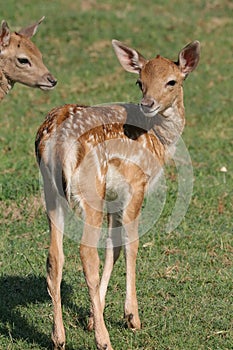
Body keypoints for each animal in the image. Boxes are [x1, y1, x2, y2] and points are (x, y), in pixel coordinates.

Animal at [35, 39, 199, 348]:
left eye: (171, 81)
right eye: (140, 81)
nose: (148, 104)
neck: (160, 140)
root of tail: (55, 137)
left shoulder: (113, 195)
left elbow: (115, 245)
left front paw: (91, 316)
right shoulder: (136, 184)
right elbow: (131, 243)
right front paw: (132, 316)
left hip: (52, 192)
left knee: (54, 258)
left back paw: (58, 337)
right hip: (90, 190)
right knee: (87, 254)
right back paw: (104, 340)